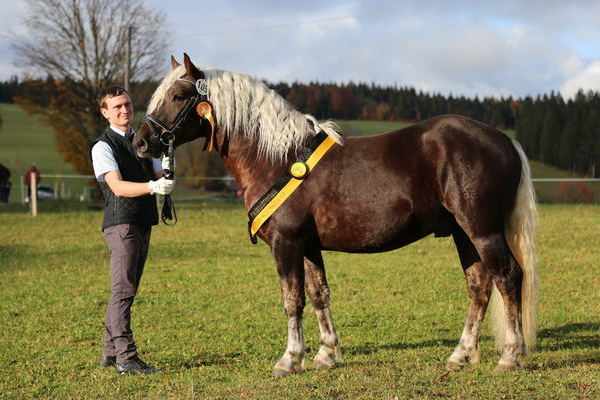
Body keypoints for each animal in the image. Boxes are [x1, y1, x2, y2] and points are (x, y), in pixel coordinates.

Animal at [135, 53, 540, 376]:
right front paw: (326, 355)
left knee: (508, 277)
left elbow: (292, 299)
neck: (276, 157)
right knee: (479, 285)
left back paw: (510, 356)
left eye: (178, 95)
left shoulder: (286, 242)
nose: (140, 142)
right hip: (462, 233)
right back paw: (461, 355)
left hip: (483, 230)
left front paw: (289, 360)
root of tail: (505, 139)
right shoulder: (309, 245)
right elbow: (319, 295)